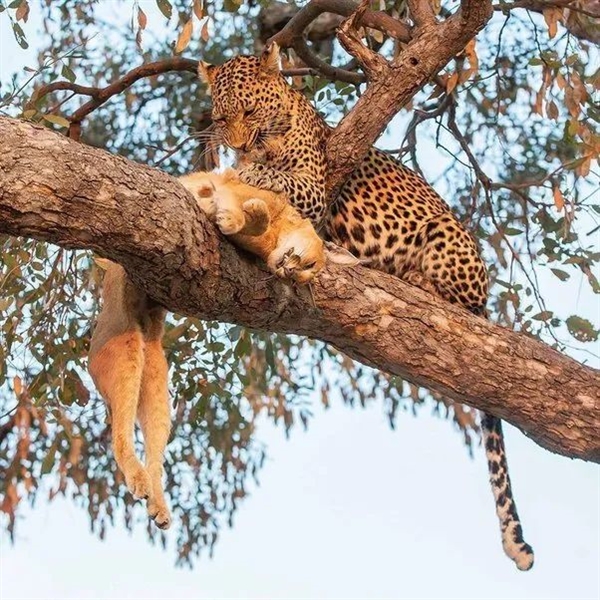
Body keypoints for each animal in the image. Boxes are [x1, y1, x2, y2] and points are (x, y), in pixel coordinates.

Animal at [198, 43, 536, 572]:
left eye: (249, 112)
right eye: (220, 116)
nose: (236, 144)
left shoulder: (312, 185)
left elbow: (271, 176)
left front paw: (240, 171)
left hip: (447, 237)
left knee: (456, 297)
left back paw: (416, 280)